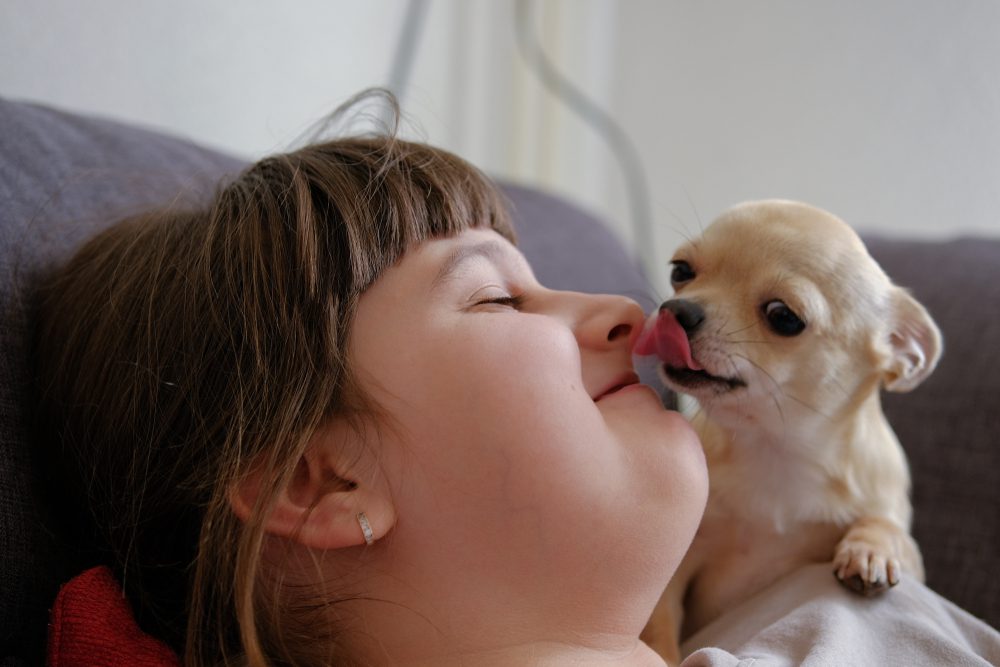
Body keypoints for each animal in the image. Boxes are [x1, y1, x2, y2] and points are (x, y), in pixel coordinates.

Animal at [636, 201, 940, 664]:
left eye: (783, 317)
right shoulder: (678, 562)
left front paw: (870, 548)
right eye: (680, 271)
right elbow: (658, 619)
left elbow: (889, 527)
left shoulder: (906, 546)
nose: (678, 309)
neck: (774, 446)